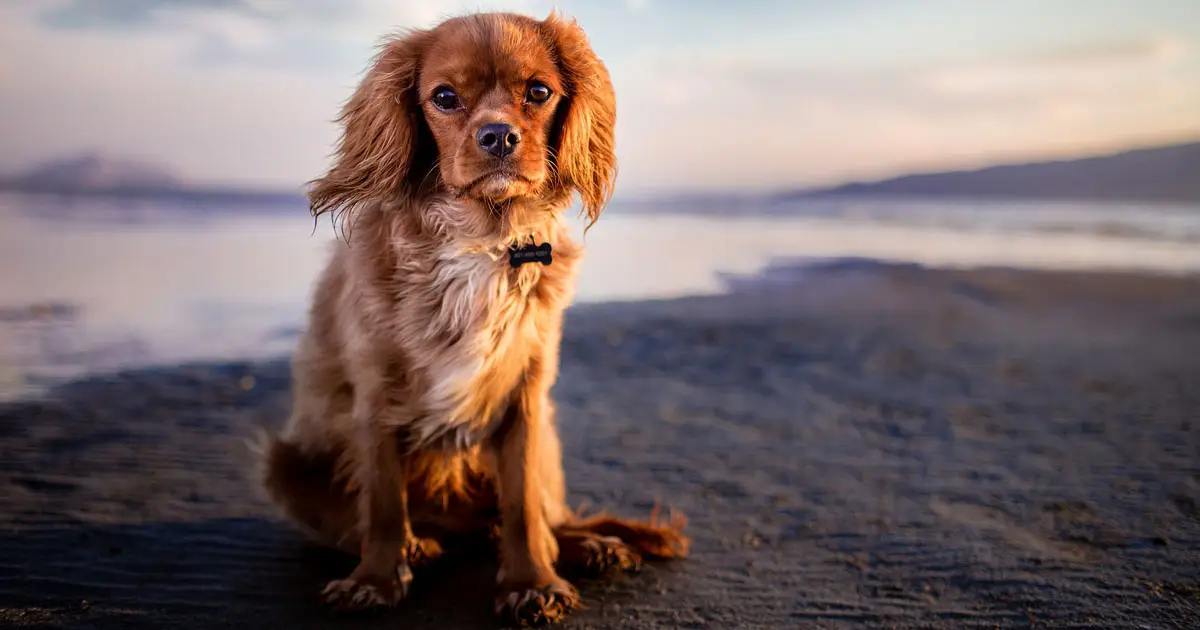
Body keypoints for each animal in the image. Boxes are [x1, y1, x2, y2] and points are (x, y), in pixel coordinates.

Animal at [260, 8, 696, 624]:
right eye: (444, 97)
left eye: (538, 92)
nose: (498, 136)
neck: (481, 241)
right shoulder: (376, 397)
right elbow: (384, 503)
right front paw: (375, 579)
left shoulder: (526, 395)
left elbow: (523, 507)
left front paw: (532, 582)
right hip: (285, 465)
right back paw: (420, 544)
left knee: (544, 518)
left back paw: (590, 544)